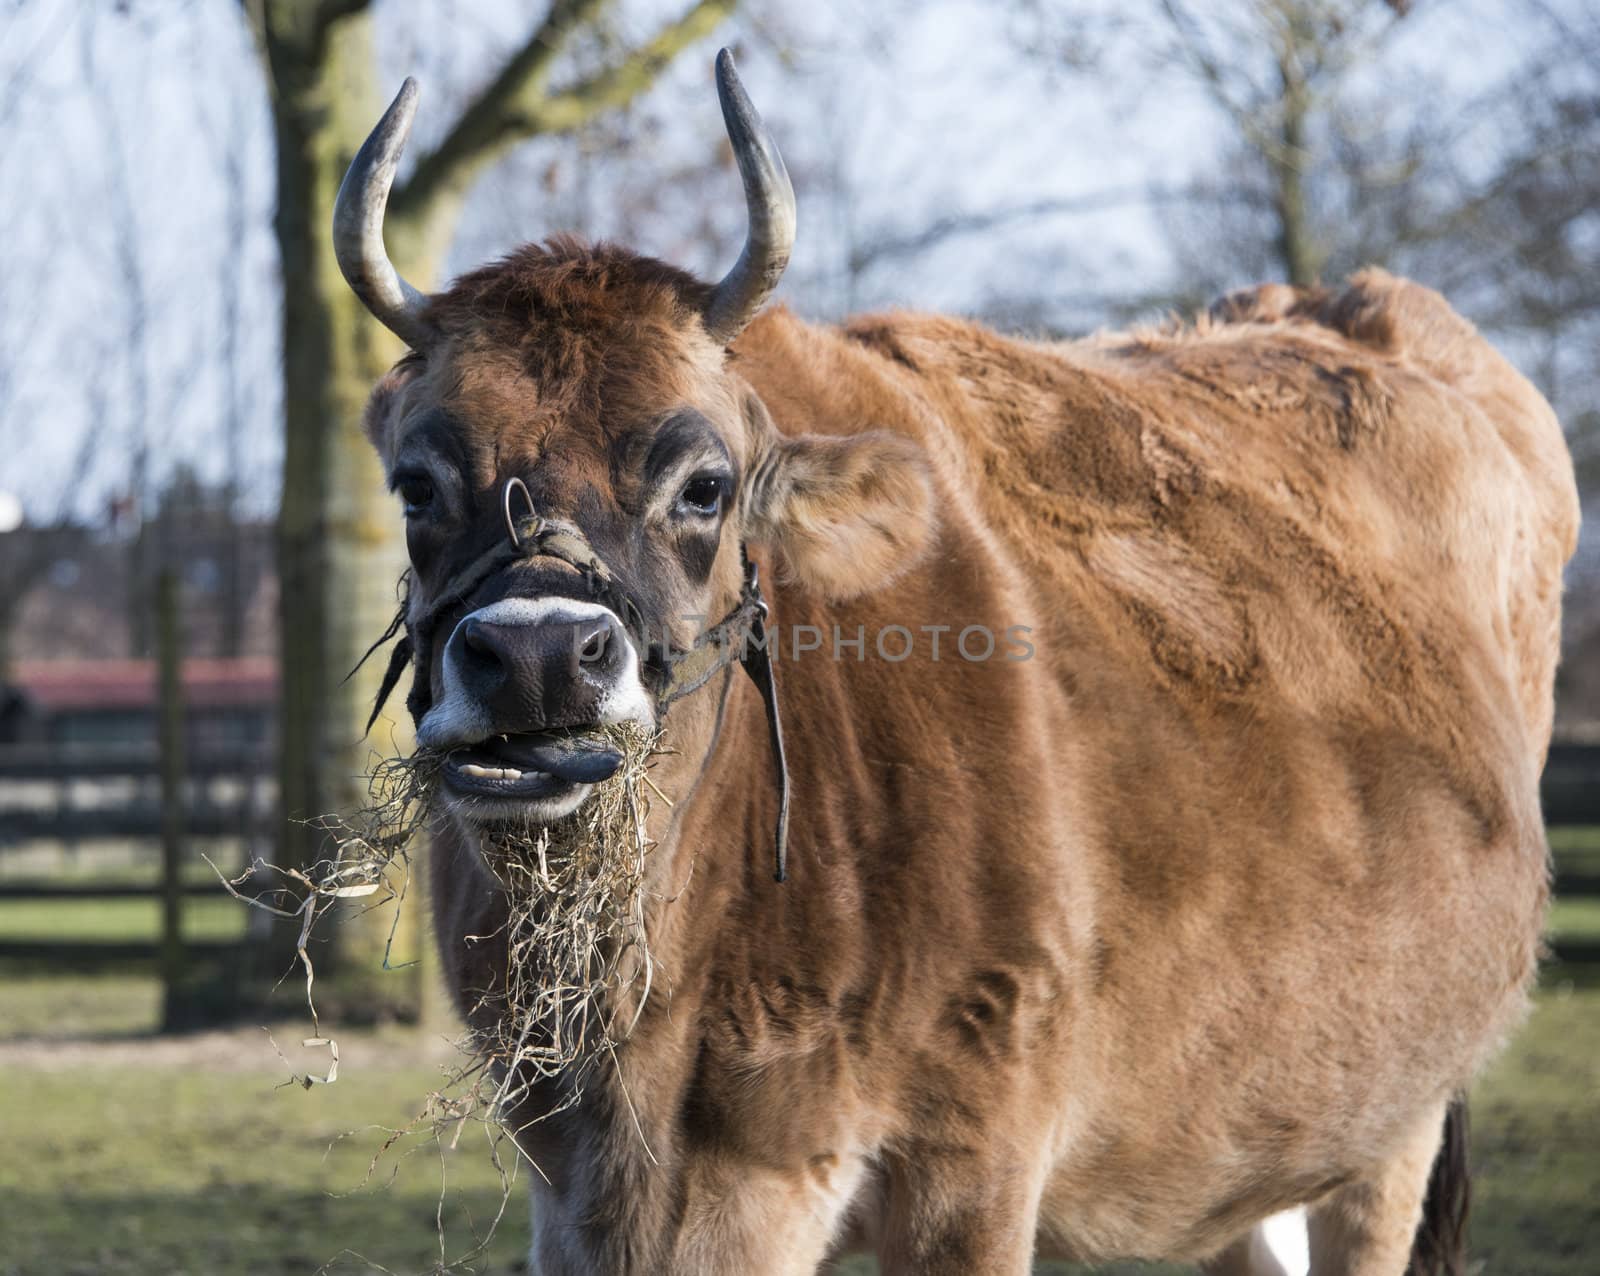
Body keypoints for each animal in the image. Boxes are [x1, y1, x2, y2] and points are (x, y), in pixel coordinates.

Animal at [334, 52, 1574, 1276]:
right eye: (416, 484)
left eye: (704, 482)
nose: (539, 653)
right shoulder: (573, 1184)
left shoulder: (974, 1155)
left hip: (1395, 1123)